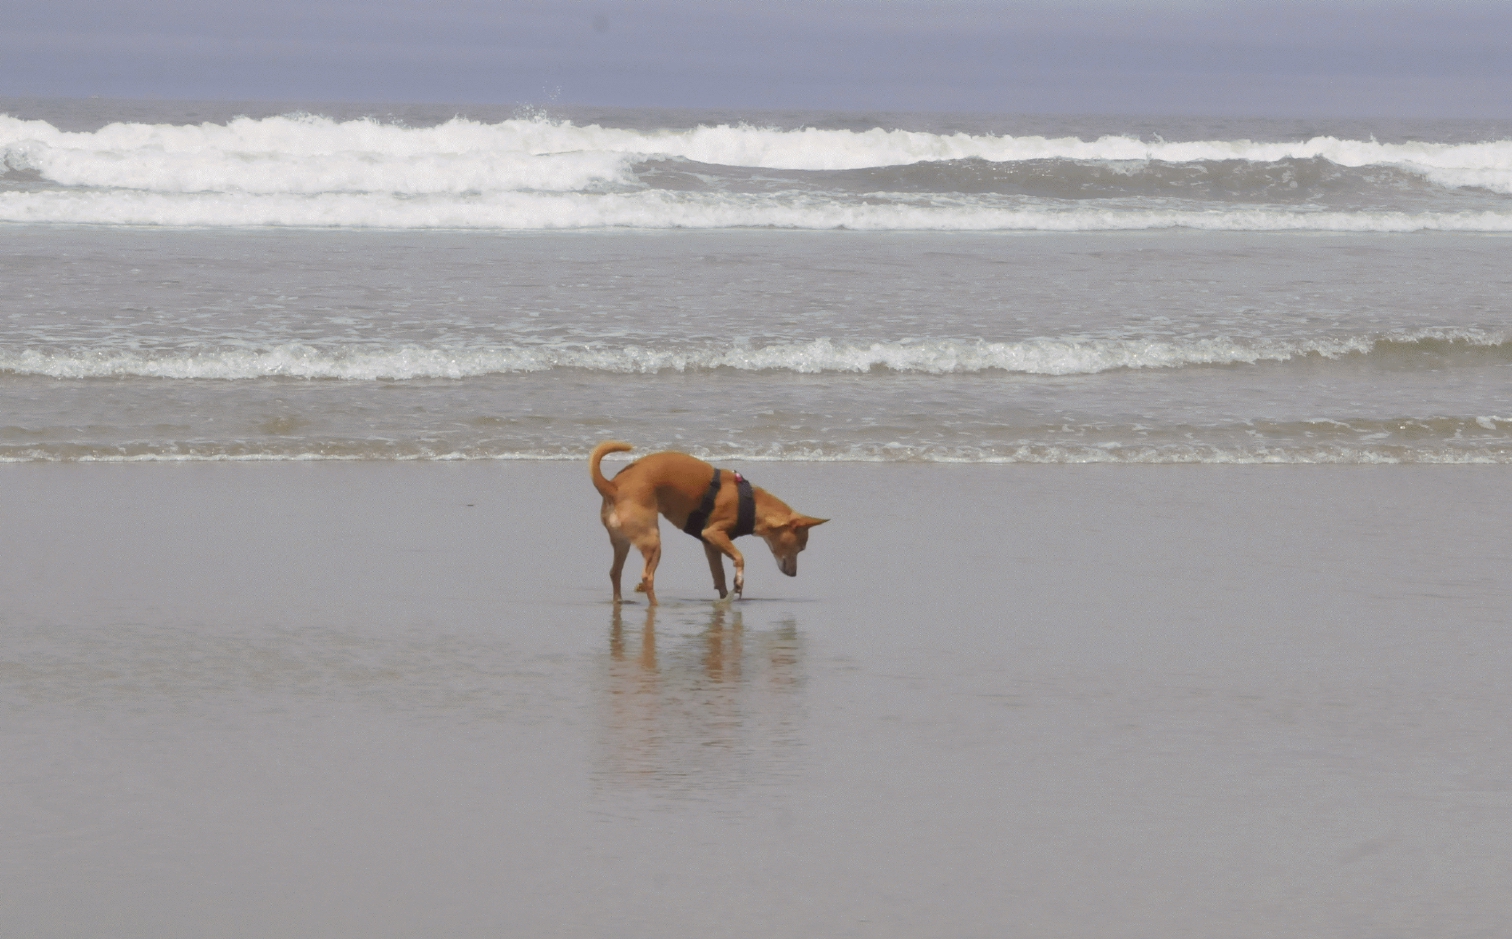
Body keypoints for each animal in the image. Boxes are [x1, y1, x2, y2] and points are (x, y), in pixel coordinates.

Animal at [589, 438, 828, 601]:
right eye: (800, 548)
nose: (793, 575)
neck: (750, 503)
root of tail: (613, 487)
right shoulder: (713, 533)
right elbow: (740, 558)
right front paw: (739, 581)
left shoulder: (710, 545)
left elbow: (719, 576)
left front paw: (725, 600)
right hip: (652, 541)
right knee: (647, 577)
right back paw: (655, 605)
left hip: (622, 543)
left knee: (615, 572)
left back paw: (620, 602)